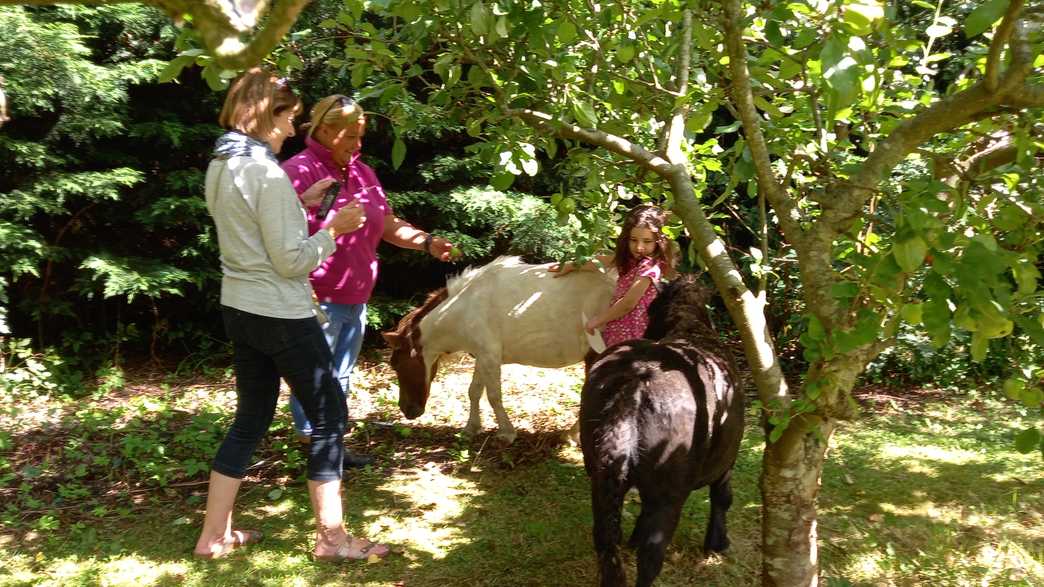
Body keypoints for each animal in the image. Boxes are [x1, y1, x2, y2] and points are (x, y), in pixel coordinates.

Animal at [382, 253, 609, 440]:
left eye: (396, 365)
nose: (407, 410)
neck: (463, 308)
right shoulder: (482, 356)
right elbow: (474, 391)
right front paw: (471, 428)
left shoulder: (490, 357)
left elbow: (493, 396)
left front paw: (506, 432)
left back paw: (573, 435)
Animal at [580, 275, 743, 584]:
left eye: (651, 308)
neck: (689, 323)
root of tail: (639, 376)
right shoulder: (727, 461)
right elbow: (723, 496)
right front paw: (718, 542)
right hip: (669, 495)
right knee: (651, 554)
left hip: (599, 475)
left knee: (605, 537)